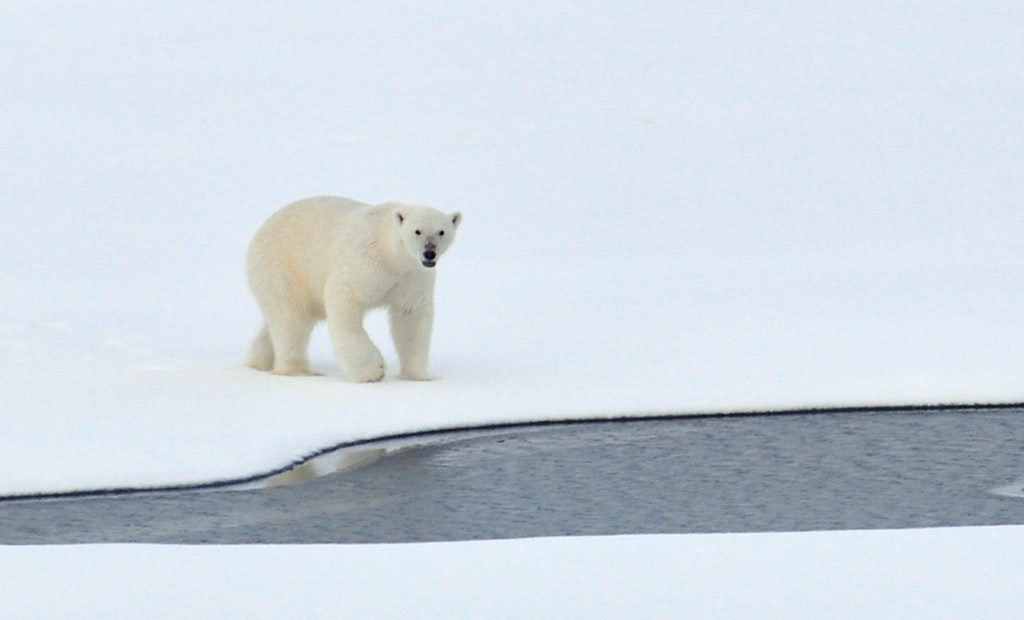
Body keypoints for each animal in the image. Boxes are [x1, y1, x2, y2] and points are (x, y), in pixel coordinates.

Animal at [246, 196, 461, 382]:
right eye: (417, 231)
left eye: (442, 231)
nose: (429, 252)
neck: (390, 253)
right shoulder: (366, 260)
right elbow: (344, 297)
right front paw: (373, 370)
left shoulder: (412, 275)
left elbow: (411, 315)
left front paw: (420, 376)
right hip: (284, 267)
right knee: (291, 318)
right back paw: (298, 370)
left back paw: (259, 361)